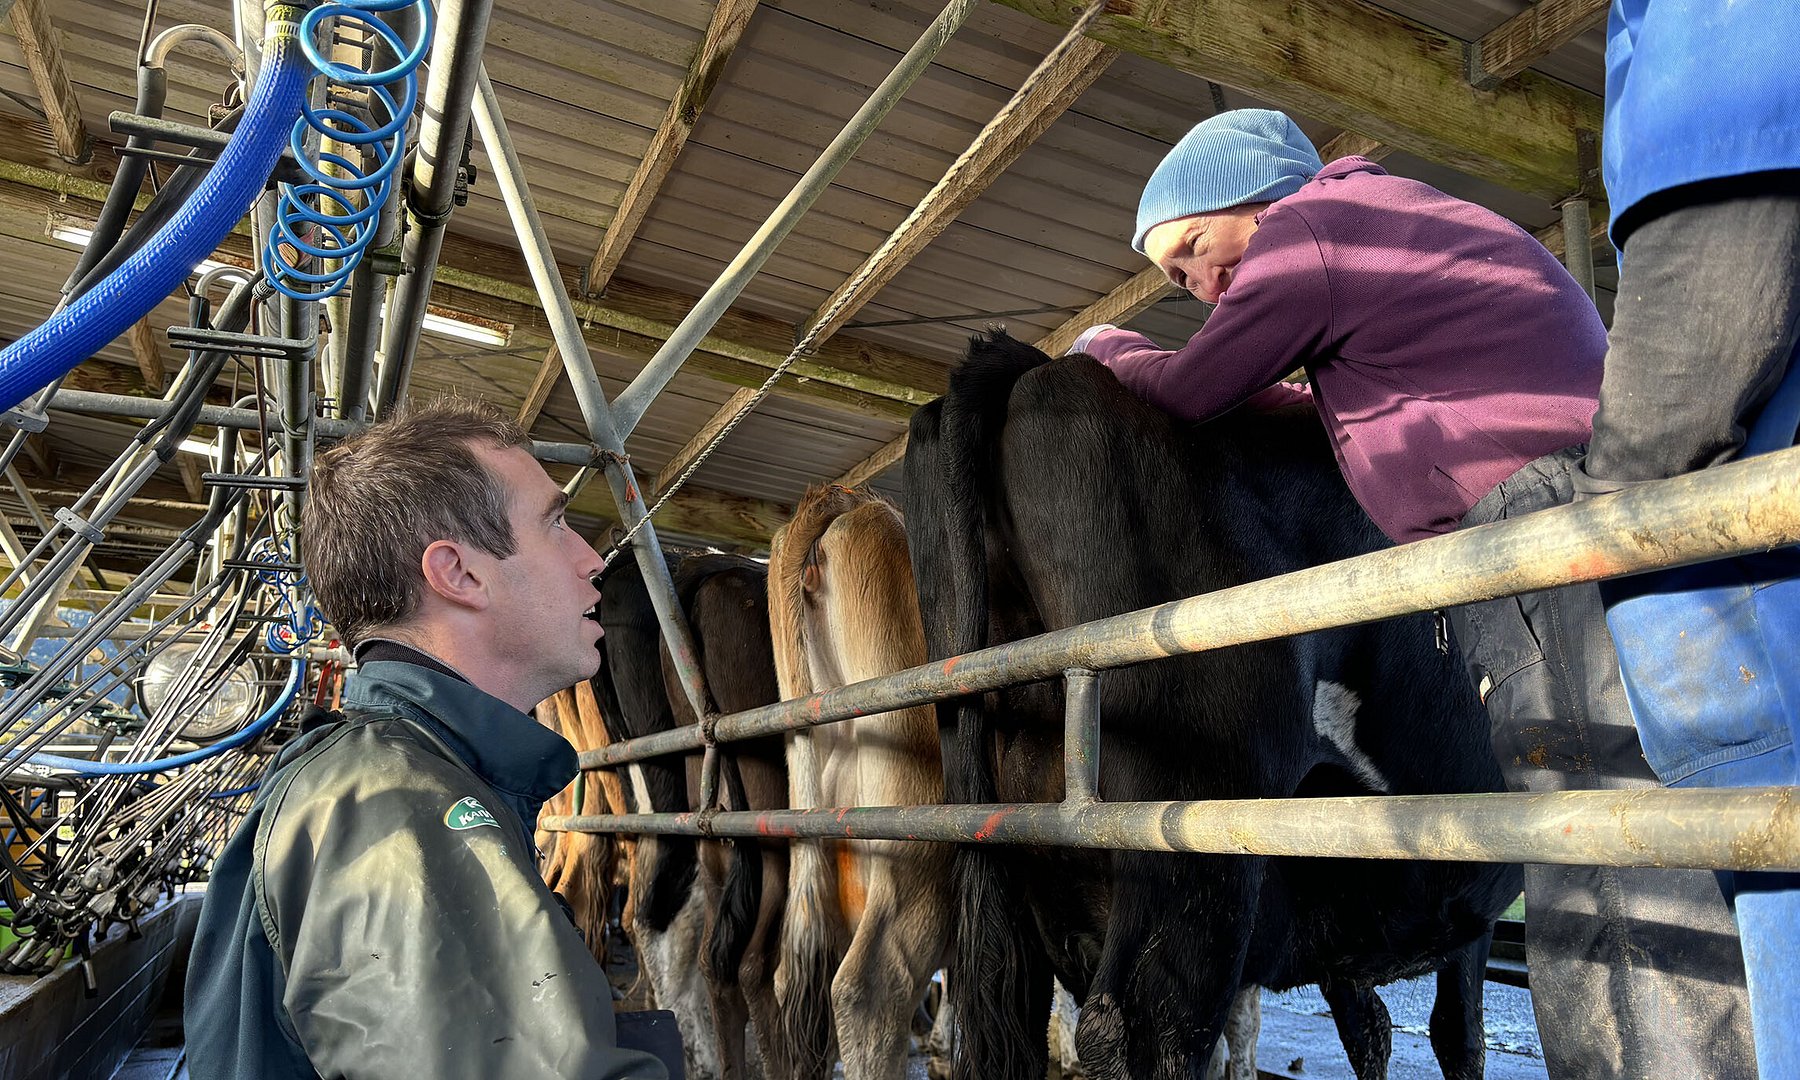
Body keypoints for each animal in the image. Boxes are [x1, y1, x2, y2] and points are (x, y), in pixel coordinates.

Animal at [903, 331, 1521, 1080]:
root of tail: (1028, 362)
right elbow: (1456, 1032)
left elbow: (1371, 1027)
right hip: (1197, 824)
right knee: (1148, 1027)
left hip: (1016, 862)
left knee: (1009, 998)